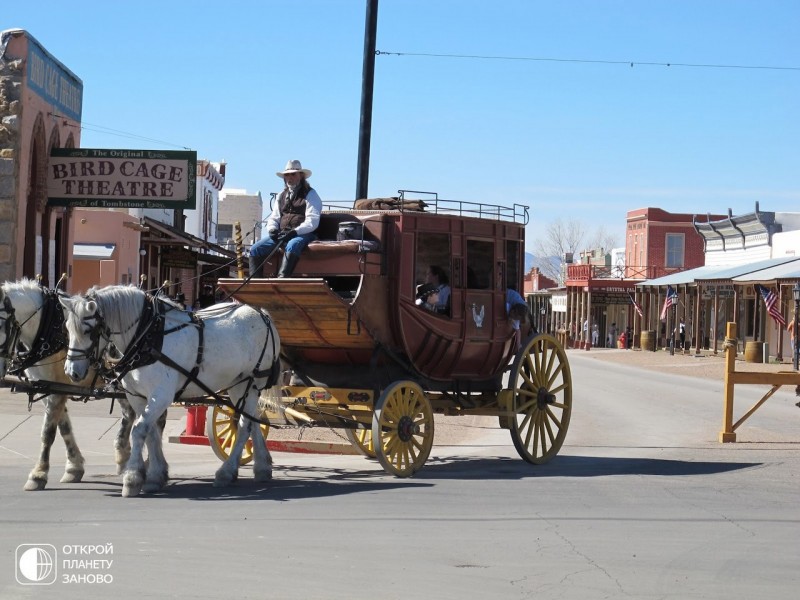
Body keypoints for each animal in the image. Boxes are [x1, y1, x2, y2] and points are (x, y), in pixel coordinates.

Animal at [0, 278, 136, 490]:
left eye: (1, 325)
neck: (47, 327)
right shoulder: (50, 386)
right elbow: (63, 427)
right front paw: (74, 467)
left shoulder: (56, 389)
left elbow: (48, 432)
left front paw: (38, 474)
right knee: (131, 412)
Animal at [59, 286, 280, 496]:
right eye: (67, 329)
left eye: (88, 331)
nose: (71, 372)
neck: (148, 336)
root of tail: (262, 313)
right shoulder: (138, 397)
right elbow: (150, 433)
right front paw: (156, 476)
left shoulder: (161, 396)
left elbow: (139, 430)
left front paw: (132, 479)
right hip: (238, 386)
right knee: (253, 421)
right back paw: (262, 467)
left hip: (249, 383)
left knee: (244, 426)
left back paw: (226, 471)